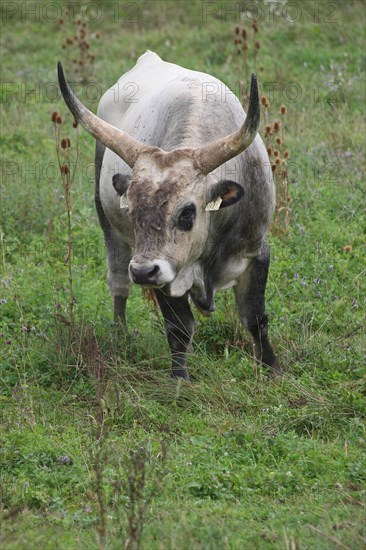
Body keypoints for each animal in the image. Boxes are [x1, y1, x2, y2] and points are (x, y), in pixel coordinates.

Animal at [58, 50, 280, 380]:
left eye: (187, 213)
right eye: (132, 211)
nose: (142, 272)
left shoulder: (257, 250)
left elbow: (255, 318)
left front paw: (272, 369)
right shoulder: (163, 271)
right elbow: (178, 327)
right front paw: (179, 380)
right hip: (108, 223)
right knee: (118, 281)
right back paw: (120, 333)